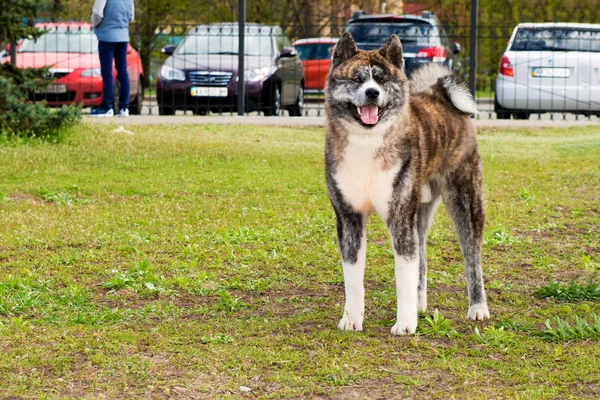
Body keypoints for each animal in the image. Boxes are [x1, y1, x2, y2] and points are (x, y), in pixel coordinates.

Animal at [326, 33, 490, 334]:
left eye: (382, 81)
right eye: (356, 79)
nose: (372, 93)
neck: (368, 143)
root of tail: (439, 94)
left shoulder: (400, 217)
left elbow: (403, 276)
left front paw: (404, 324)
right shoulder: (349, 218)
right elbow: (353, 278)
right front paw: (352, 318)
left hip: (465, 201)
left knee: (472, 258)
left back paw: (478, 308)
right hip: (420, 210)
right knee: (421, 256)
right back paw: (420, 304)